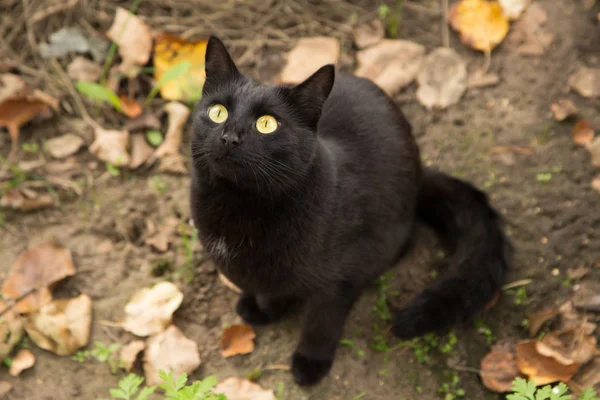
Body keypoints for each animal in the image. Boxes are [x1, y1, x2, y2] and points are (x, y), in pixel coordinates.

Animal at [191, 36, 510, 386]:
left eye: (267, 124)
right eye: (218, 112)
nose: (229, 137)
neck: (240, 207)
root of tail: (420, 170)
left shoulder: (342, 277)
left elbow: (321, 321)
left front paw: (310, 363)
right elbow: (271, 288)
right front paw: (265, 308)